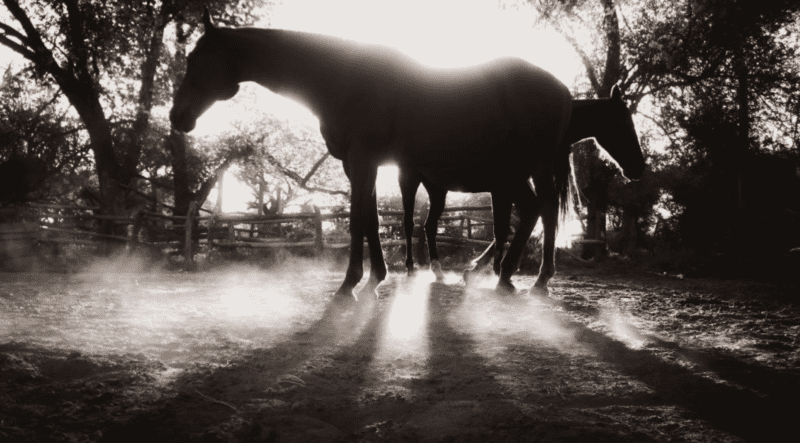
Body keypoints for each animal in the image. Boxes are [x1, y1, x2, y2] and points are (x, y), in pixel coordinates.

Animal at [171, 9, 600, 300]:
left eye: (196, 60)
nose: (178, 117)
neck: (344, 80)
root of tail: (561, 90)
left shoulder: (363, 161)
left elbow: (357, 221)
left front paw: (349, 283)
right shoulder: (363, 164)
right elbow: (372, 219)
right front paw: (375, 276)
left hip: (530, 168)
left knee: (545, 211)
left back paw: (537, 279)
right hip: (514, 172)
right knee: (531, 211)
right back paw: (506, 276)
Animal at [400, 87, 645, 288]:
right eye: (624, 122)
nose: (639, 167)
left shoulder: (512, 185)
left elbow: (515, 222)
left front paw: (484, 269)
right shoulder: (507, 184)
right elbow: (519, 221)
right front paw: (497, 269)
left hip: (437, 190)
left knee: (429, 226)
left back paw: (438, 270)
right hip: (411, 181)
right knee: (410, 223)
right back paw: (412, 268)